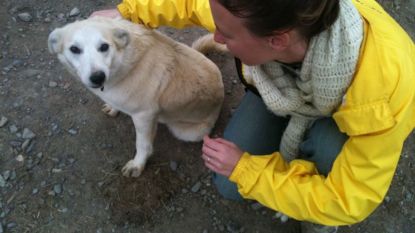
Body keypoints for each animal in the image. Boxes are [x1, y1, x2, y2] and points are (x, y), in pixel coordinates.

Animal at [48, 16, 224, 177]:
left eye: (104, 47)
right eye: (74, 49)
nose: (98, 77)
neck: (122, 63)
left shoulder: (143, 116)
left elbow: (142, 145)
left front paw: (138, 165)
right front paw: (113, 108)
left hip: (187, 132)